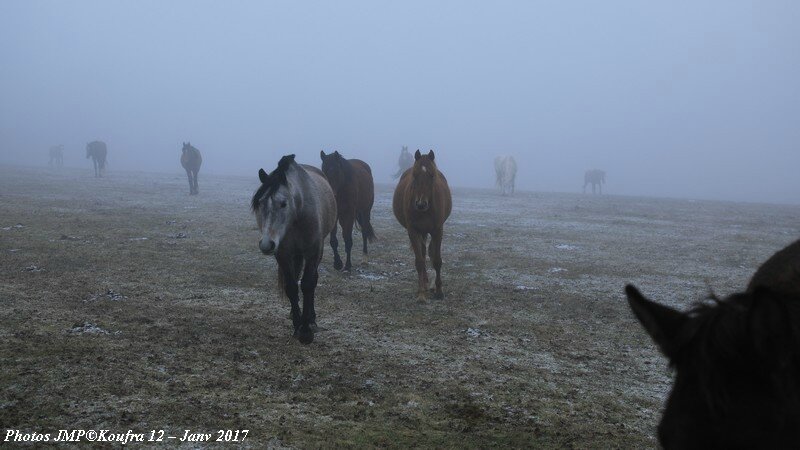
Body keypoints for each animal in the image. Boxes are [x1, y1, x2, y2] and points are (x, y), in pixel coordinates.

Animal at [252, 155, 336, 344]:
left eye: (283, 203)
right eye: (260, 203)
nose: (266, 244)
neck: (298, 213)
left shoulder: (313, 252)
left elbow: (308, 284)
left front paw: (306, 331)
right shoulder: (282, 254)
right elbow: (291, 286)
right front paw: (298, 325)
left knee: (312, 281)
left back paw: (311, 318)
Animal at [392, 149, 450, 300]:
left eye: (432, 175)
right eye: (415, 175)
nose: (420, 204)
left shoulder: (437, 230)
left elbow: (437, 260)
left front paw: (439, 290)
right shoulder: (413, 231)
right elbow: (419, 261)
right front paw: (421, 293)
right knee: (423, 254)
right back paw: (424, 282)